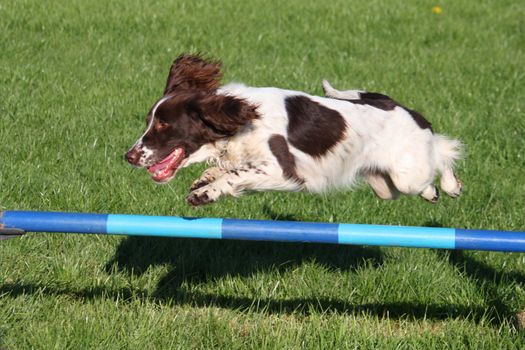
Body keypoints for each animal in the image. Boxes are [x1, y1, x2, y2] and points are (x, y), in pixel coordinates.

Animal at [126, 54, 462, 205]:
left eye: (164, 123)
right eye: (148, 120)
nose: (129, 156)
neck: (243, 122)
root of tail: (396, 105)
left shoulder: (284, 171)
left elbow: (236, 174)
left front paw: (205, 192)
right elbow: (227, 169)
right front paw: (206, 178)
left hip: (408, 172)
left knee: (441, 153)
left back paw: (450, 186)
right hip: (385, 184)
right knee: (419, 181)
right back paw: (435, 192)